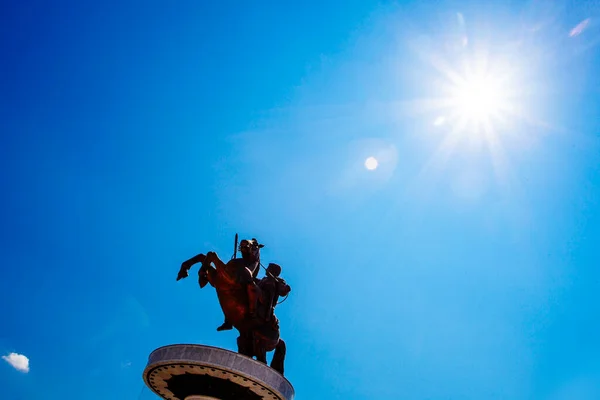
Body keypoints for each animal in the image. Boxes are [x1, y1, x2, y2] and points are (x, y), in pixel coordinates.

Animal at [177, 239, 288, 376]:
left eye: (255, 244)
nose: (244, 242)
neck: (244, 265)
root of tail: (278, 338)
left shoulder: (228, 277)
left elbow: (212, 255)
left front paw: (201, 275)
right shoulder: (216, 279)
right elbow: (204, 256)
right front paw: (189, 272)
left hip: (260, 343)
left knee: (263, 360)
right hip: (245, 340)